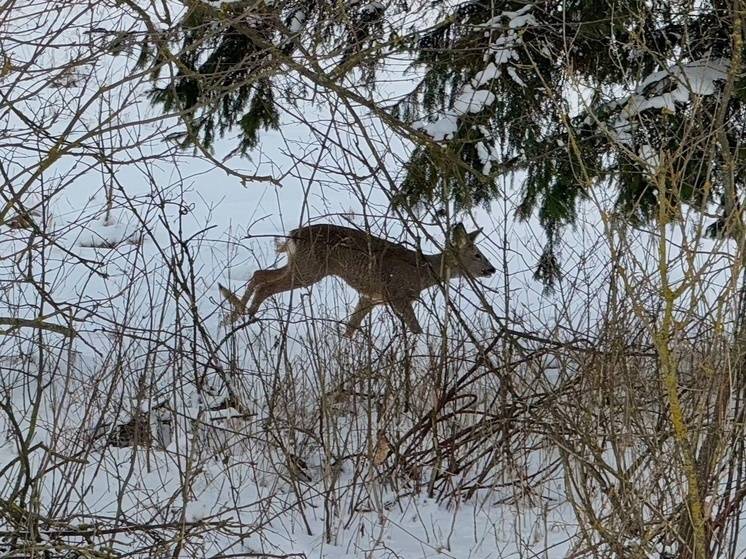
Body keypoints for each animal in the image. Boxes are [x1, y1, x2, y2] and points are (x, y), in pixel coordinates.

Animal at [217, 223, 494, 336]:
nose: (491, 269)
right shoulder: (397, 294)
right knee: (267, 285)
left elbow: (350, 327)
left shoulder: (371, 297)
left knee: (259, 274)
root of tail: (293, 235)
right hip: (309, 270)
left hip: (299, 265)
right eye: (477, 255)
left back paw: (234, 316)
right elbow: (415, 328)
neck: (423, 272)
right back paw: (247, 316)